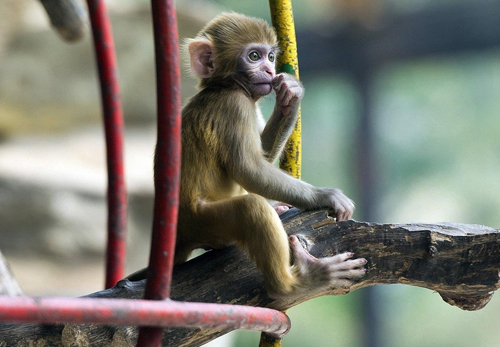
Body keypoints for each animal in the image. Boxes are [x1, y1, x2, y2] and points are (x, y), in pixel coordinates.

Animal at [175, 12, 364, 300]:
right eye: (254, 56)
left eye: (271, 57)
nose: (270, 71)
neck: (223, 87)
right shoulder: (234, 107)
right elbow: (249, 170)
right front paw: (326, 196)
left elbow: (261, 156)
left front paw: (291, 97)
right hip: (201, 221)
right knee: (250, 208)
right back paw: (293, 284)